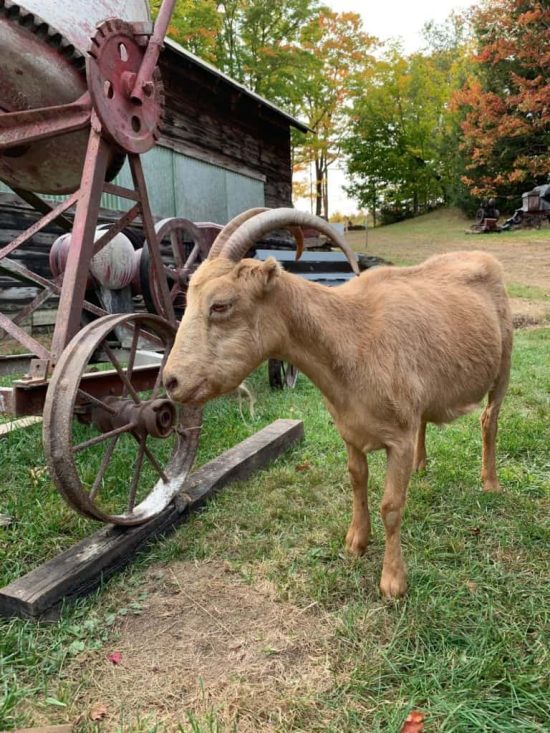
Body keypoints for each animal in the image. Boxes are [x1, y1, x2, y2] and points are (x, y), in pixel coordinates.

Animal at [163, 209, 513, 598]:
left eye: (221, 304)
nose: (170, 381)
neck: (352, 337)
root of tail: (484, 257)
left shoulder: (399, 439)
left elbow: (392, 506)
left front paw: (393, 581)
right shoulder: (350, 431)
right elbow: (357, 481)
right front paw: (356, 543)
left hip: (504, 363)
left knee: (489, 419)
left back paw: (490, 483)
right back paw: (421, 466)